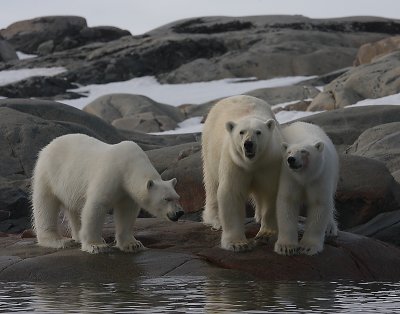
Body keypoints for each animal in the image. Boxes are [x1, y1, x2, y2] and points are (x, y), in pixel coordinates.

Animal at [32, 132, 184, 253]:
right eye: (166, 199)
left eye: (177, 197)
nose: (179, 212)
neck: (129, 166)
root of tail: (48, 146)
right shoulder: (110, 174)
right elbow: (96, 206)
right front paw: (96, 245)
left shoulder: (126, 192)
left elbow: (126, 213)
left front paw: (133, 244)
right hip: (48, 174)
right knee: (45, 205)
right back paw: (59, 240)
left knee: (74, 209)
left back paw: (77, 236)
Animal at [202, 94, 282, 251]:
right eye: (241, 132)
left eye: (258, 132)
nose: (248, 144)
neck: (252, 163)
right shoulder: (234, 163)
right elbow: (231, 192)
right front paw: (237, 244)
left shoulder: (270, 163)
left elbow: (272, 192)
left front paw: (266, 234)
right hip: (209, 149)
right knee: (212, 184)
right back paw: (215, 219)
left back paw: (258, 216)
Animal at [276, 121, 340, 256]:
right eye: (289, 152)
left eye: (304, 151)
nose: (291, 159)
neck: (305, 177)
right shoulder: (290, 177)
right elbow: (288, 202)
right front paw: (286, 247)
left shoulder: (320, 177)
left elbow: (319, 205)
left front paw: (307, 247)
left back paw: (330, 228)